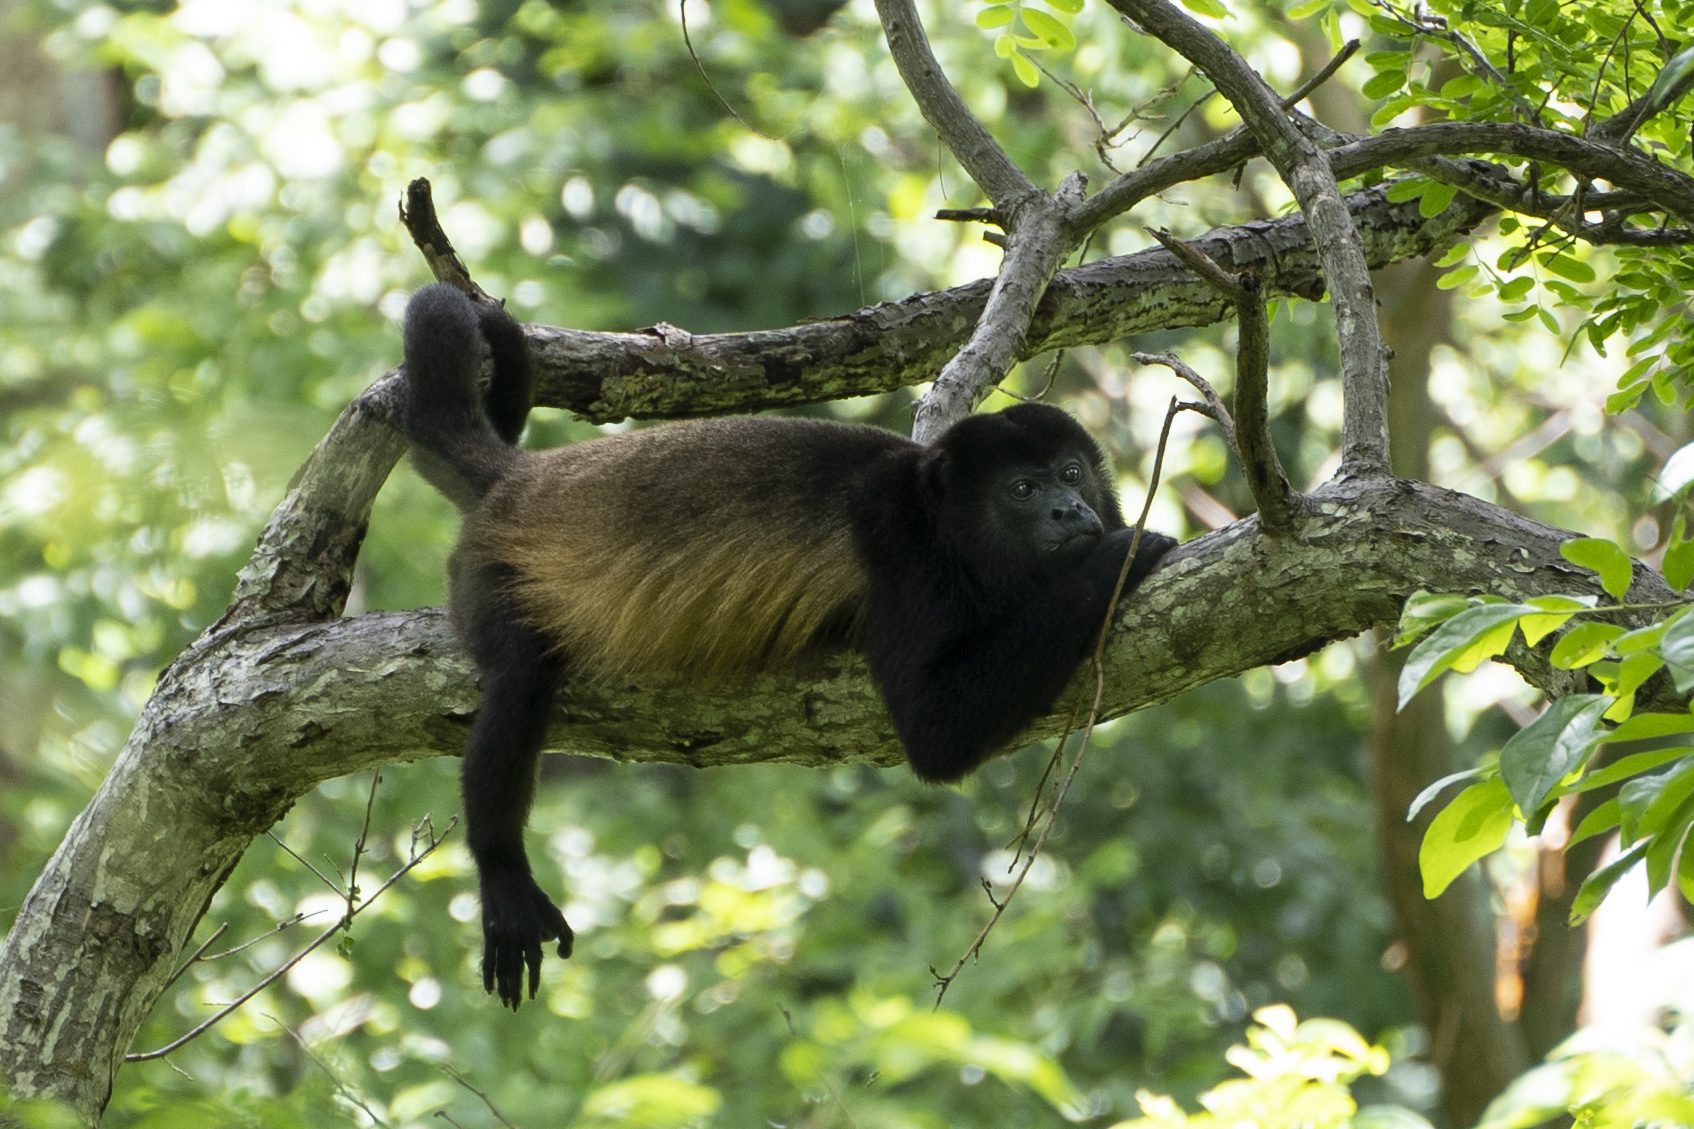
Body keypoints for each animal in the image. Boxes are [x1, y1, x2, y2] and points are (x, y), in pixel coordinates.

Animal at [398, 283, 1179, 1010]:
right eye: (1022, 489)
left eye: (1071, 472)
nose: (1069, 510)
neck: (950, 524)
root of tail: (520, 482)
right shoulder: (903, 551)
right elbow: (936, 728)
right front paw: (1120, 553)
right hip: (487, 575)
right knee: (519, 678)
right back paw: (502, 871)